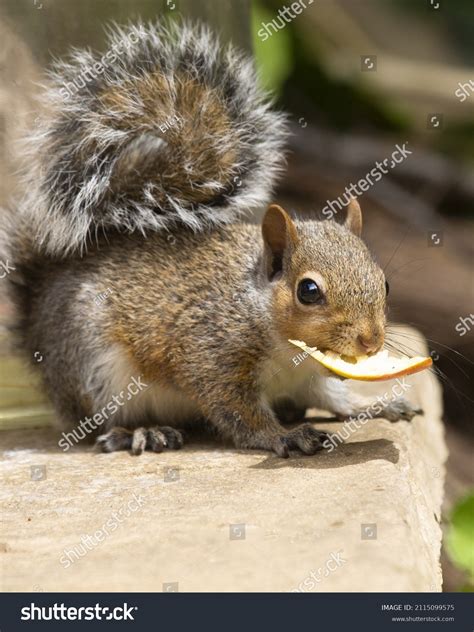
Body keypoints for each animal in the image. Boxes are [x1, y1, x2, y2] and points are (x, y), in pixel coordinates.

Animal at [3, 18, 420, 454]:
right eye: (308, 291)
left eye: (385, 284)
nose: (371, 342)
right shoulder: (212, 356)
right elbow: (238, 413)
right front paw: (283, 436)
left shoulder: (307, 378)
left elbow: (332, 398)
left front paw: (375, 406)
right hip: (94, 369)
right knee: (94, 423)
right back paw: (140, 431)